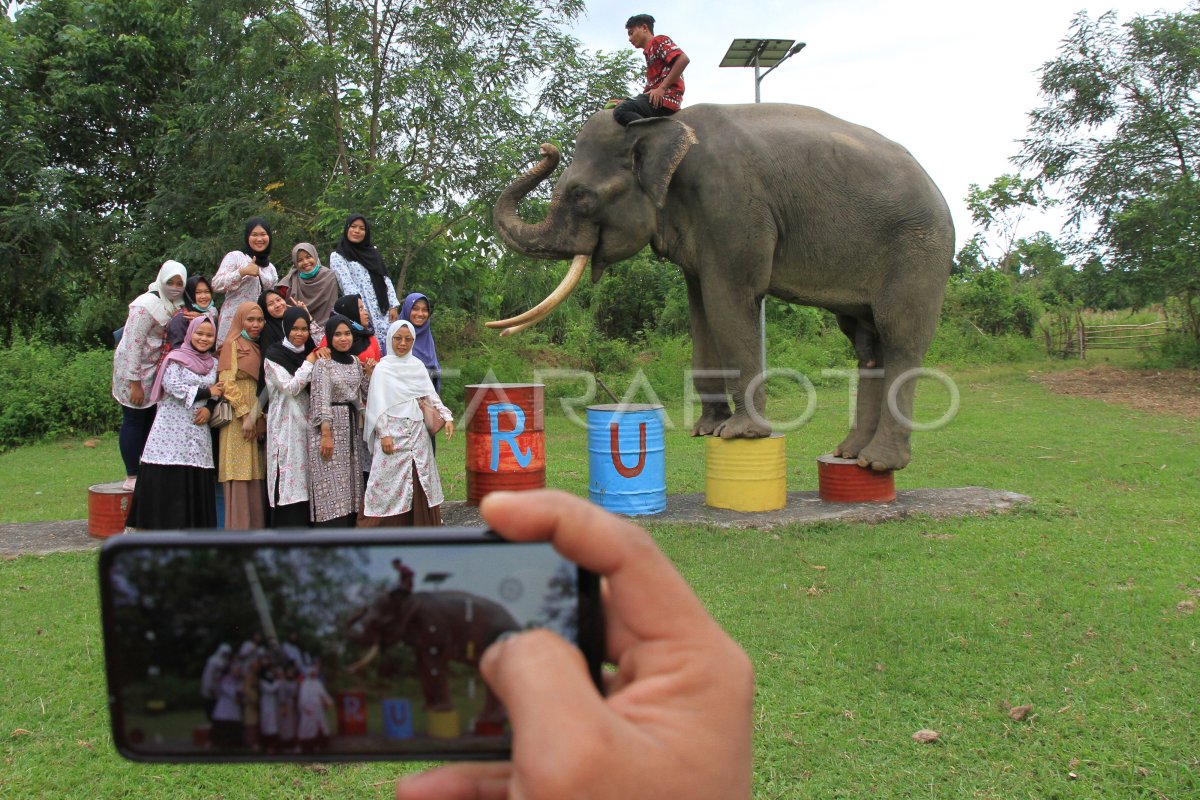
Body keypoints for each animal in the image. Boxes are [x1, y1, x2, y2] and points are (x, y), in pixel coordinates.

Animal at [345, 578, 518, 729]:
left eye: (376, 624)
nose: (350, 670)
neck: (410, 598)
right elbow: (422, 663)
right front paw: (427, 708)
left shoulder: (434, 625)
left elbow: (434, 661)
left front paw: (440, 710)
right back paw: (488, 720)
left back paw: (490, 720)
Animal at [489, 103, 955, 472]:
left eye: (581, 196)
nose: (547, 149)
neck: (663, 127)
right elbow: (700, 307)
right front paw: (707, 430)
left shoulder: (732, 205)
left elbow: (729, 299)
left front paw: (741, 434)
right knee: (867, 344)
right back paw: (848, 455)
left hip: (919, 249)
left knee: (900, 337)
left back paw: (879, 463)